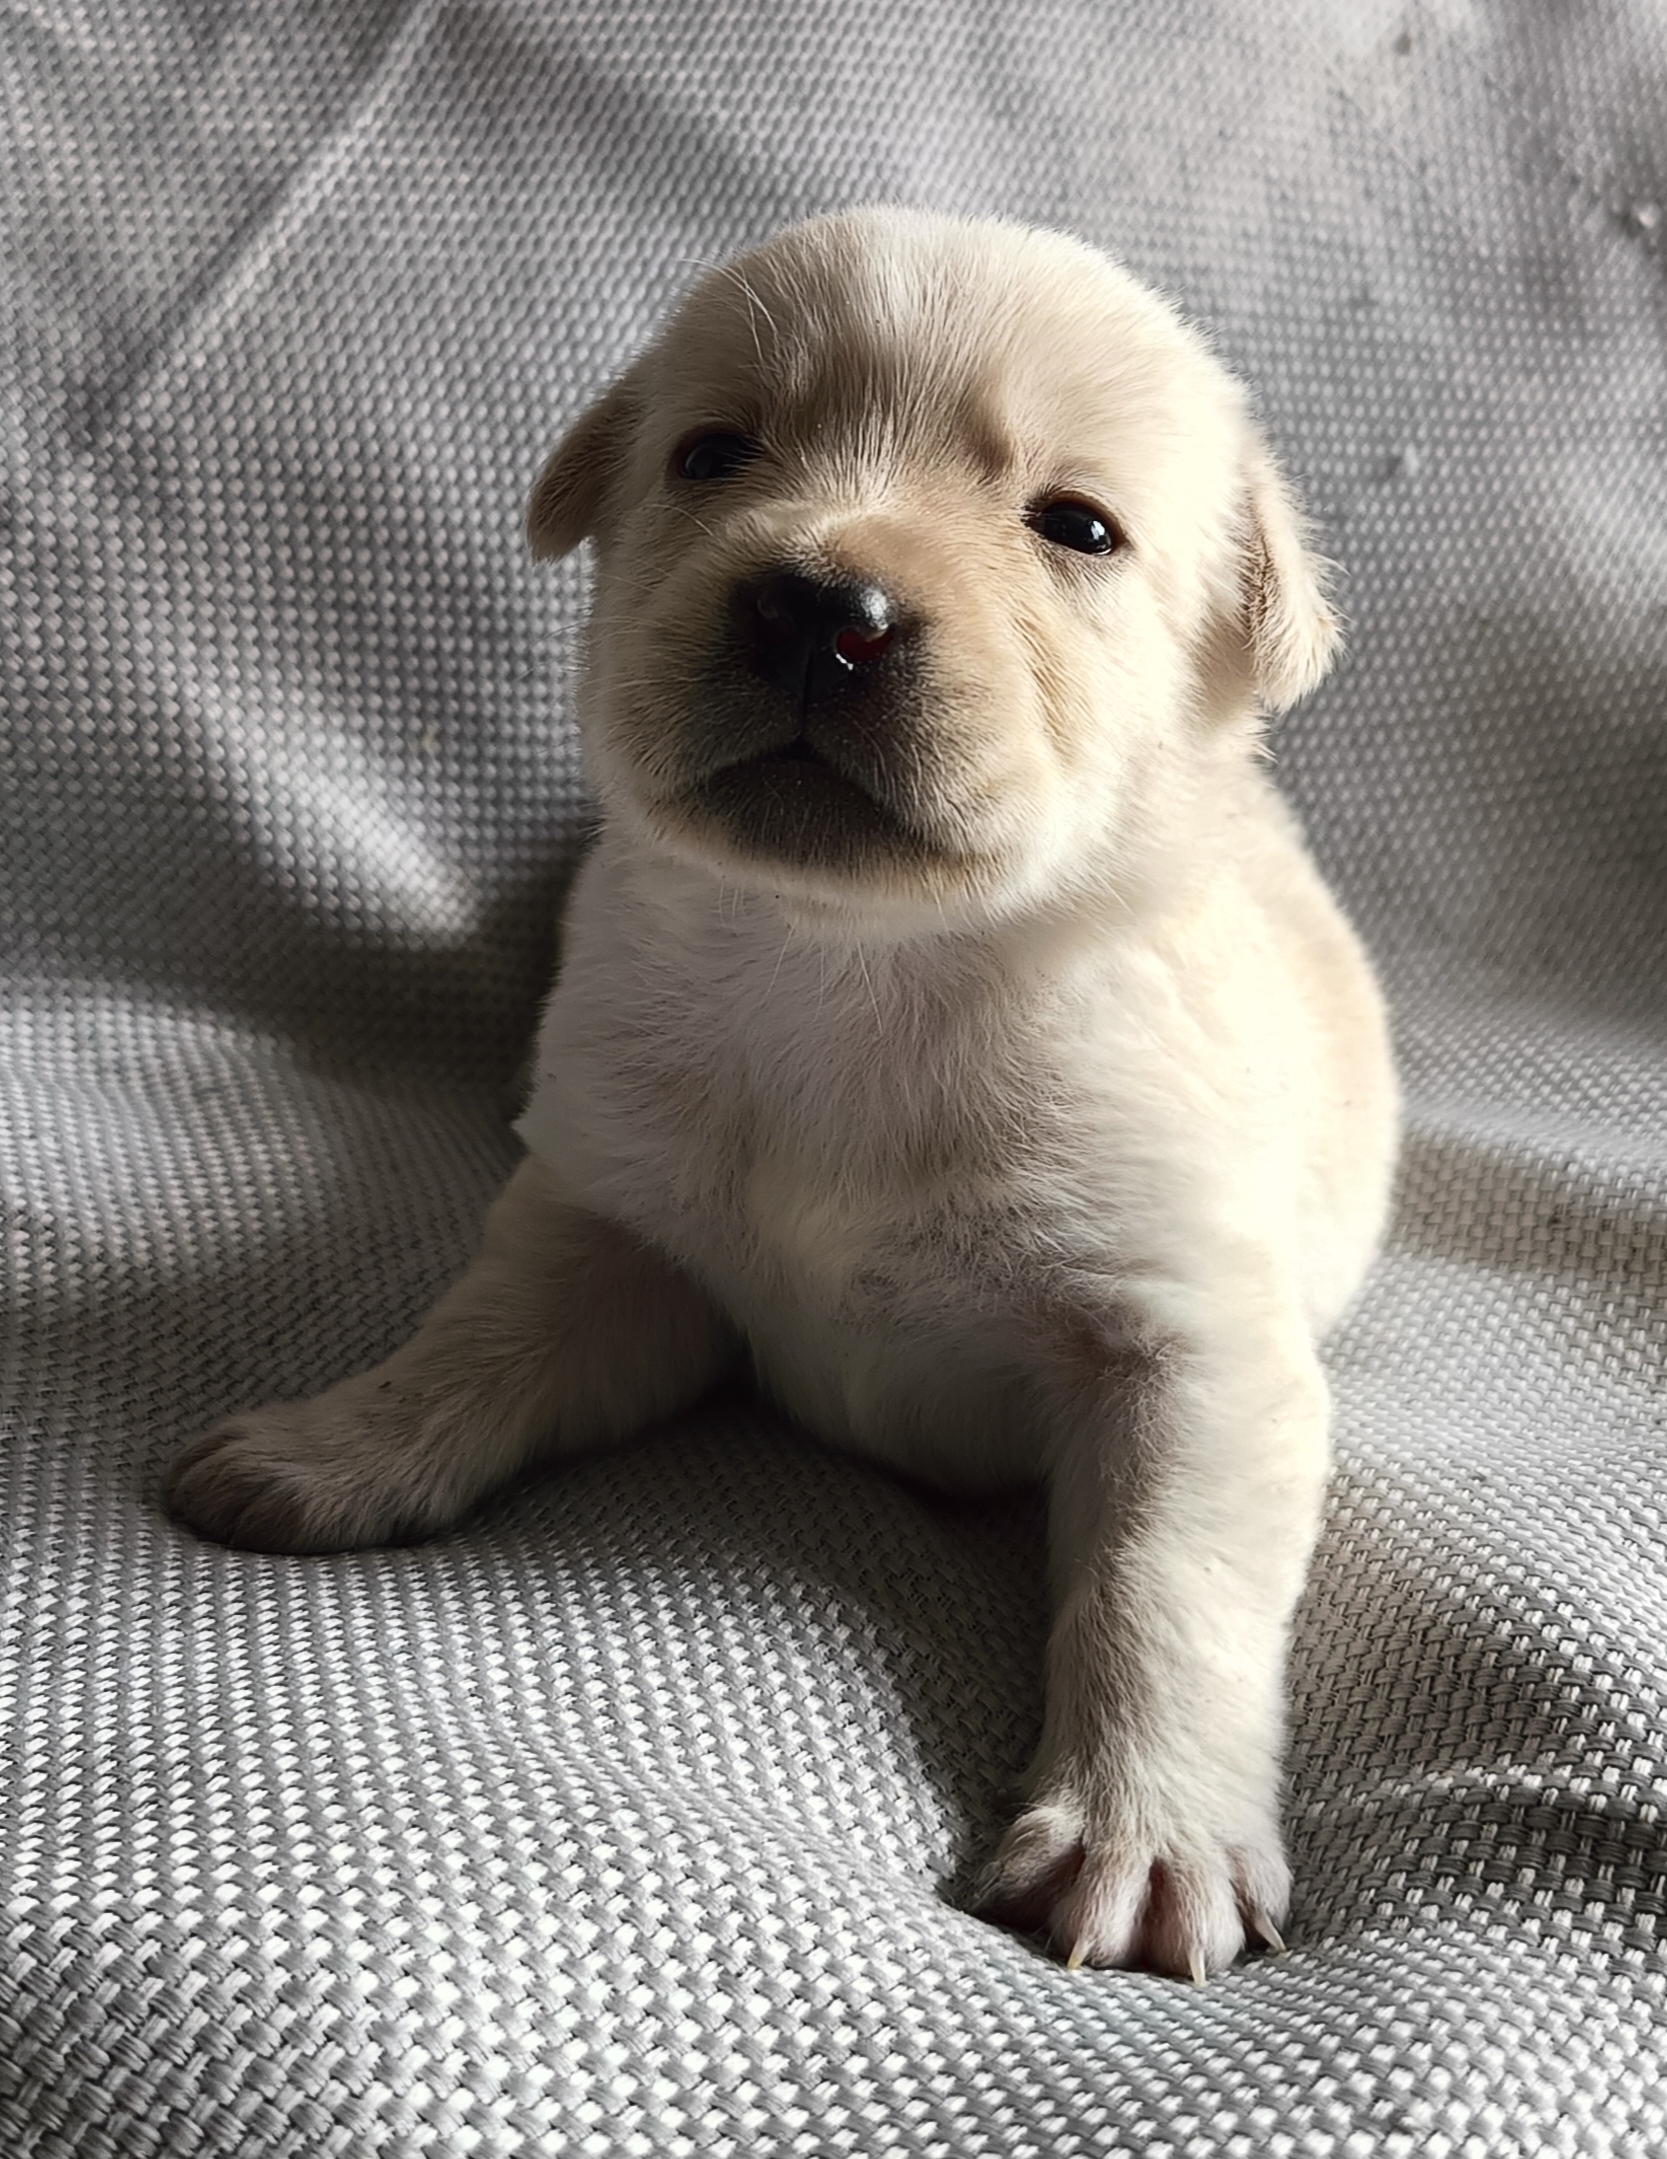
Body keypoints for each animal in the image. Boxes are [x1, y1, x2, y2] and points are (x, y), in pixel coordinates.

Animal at [167, 207, 1398, 1980]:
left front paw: (1141, 1830)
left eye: (1074, 526)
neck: (850, 969)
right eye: (712, 452)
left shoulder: (1190, 1347)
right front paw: (334, 1444)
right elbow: (473, 1344)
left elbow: (1162, 1583)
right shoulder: (614, 1226)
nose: (825, 607)